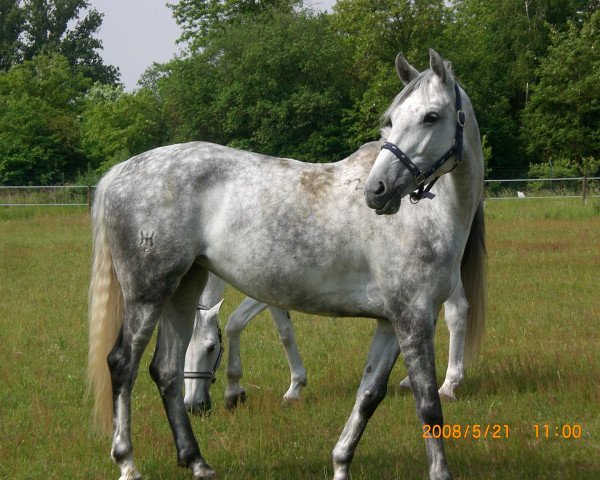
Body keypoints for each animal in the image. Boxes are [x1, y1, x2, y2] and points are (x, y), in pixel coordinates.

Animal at [86, 49, 486, 480]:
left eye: (431, 116)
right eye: (391, 120)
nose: (376, 191)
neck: (428, 215)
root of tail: (120, 172)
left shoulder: (391, 321)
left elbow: (368, 395)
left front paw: (341, 463)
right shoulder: (413, 318)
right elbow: (427, 406)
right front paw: (439, 470)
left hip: (182, 290)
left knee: (166, 371)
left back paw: (196, 461)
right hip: (148, 294)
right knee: (122, 364)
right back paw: (128, 462)